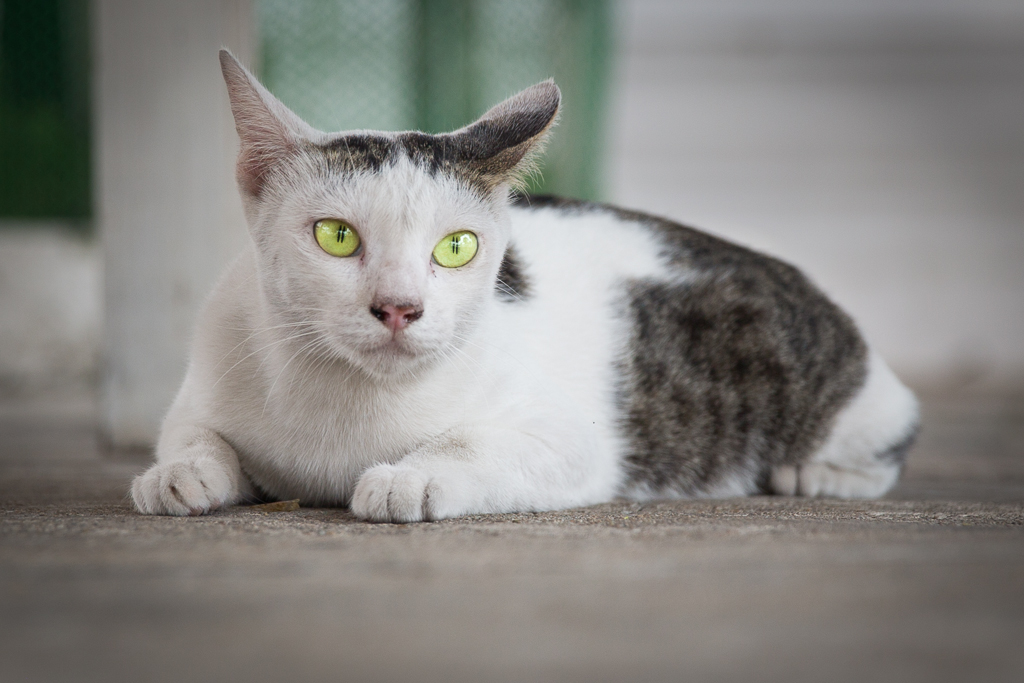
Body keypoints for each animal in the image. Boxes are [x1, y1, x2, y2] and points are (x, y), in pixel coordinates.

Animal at [128, 52, 921, 524]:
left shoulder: (573, 442)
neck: (344, 406)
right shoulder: (206, 371)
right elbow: (190, 431)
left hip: (846, 403)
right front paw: (180, 471)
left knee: (895, 432)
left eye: (456, 247)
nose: (399, 307)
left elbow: (475, 443)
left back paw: (812, 474)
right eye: (336, 237)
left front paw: (409, 478)